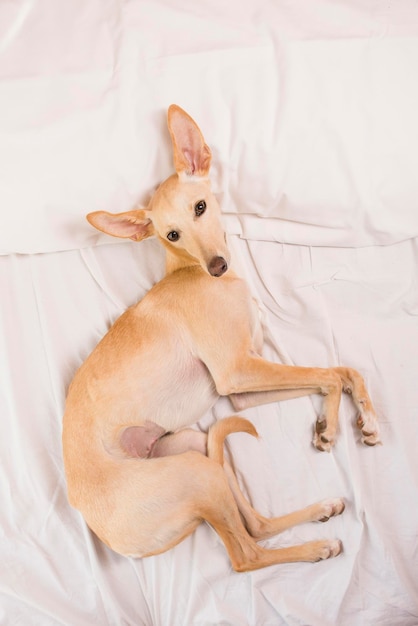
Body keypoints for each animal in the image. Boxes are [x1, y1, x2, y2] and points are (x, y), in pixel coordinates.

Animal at [61, 103, 378, 572]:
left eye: (200, 207)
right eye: (171, 234)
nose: (217, 266)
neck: (191, 272)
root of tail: (111, 538)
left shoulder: (242, 389)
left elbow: (340, 371)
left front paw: (358, 420)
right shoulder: (236, 372)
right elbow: (329, 374)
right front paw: (333, 426)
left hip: (195, 448)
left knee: (256, 524)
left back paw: (321, 510)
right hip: (196, 475)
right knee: (245, 554)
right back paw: (316, 548)